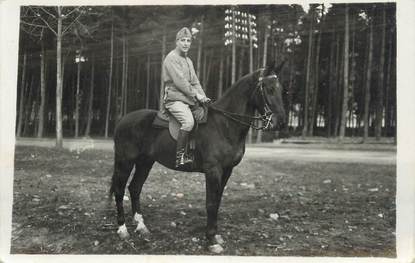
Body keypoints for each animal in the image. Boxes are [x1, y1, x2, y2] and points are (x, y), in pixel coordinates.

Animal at [109, 60, 286, 254]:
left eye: (281, 89)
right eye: (269, 88)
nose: (281, 122)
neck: (224, 125)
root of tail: (123, 120)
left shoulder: (227, 171)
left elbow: (217, 201)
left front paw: (215, 236)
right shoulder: (213, 170)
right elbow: (211, 203)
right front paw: (211, 240)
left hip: (145, 162)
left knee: (135, 188)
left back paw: (141, 227)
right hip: (125, 162)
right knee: (119, 190)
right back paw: (122, 229)